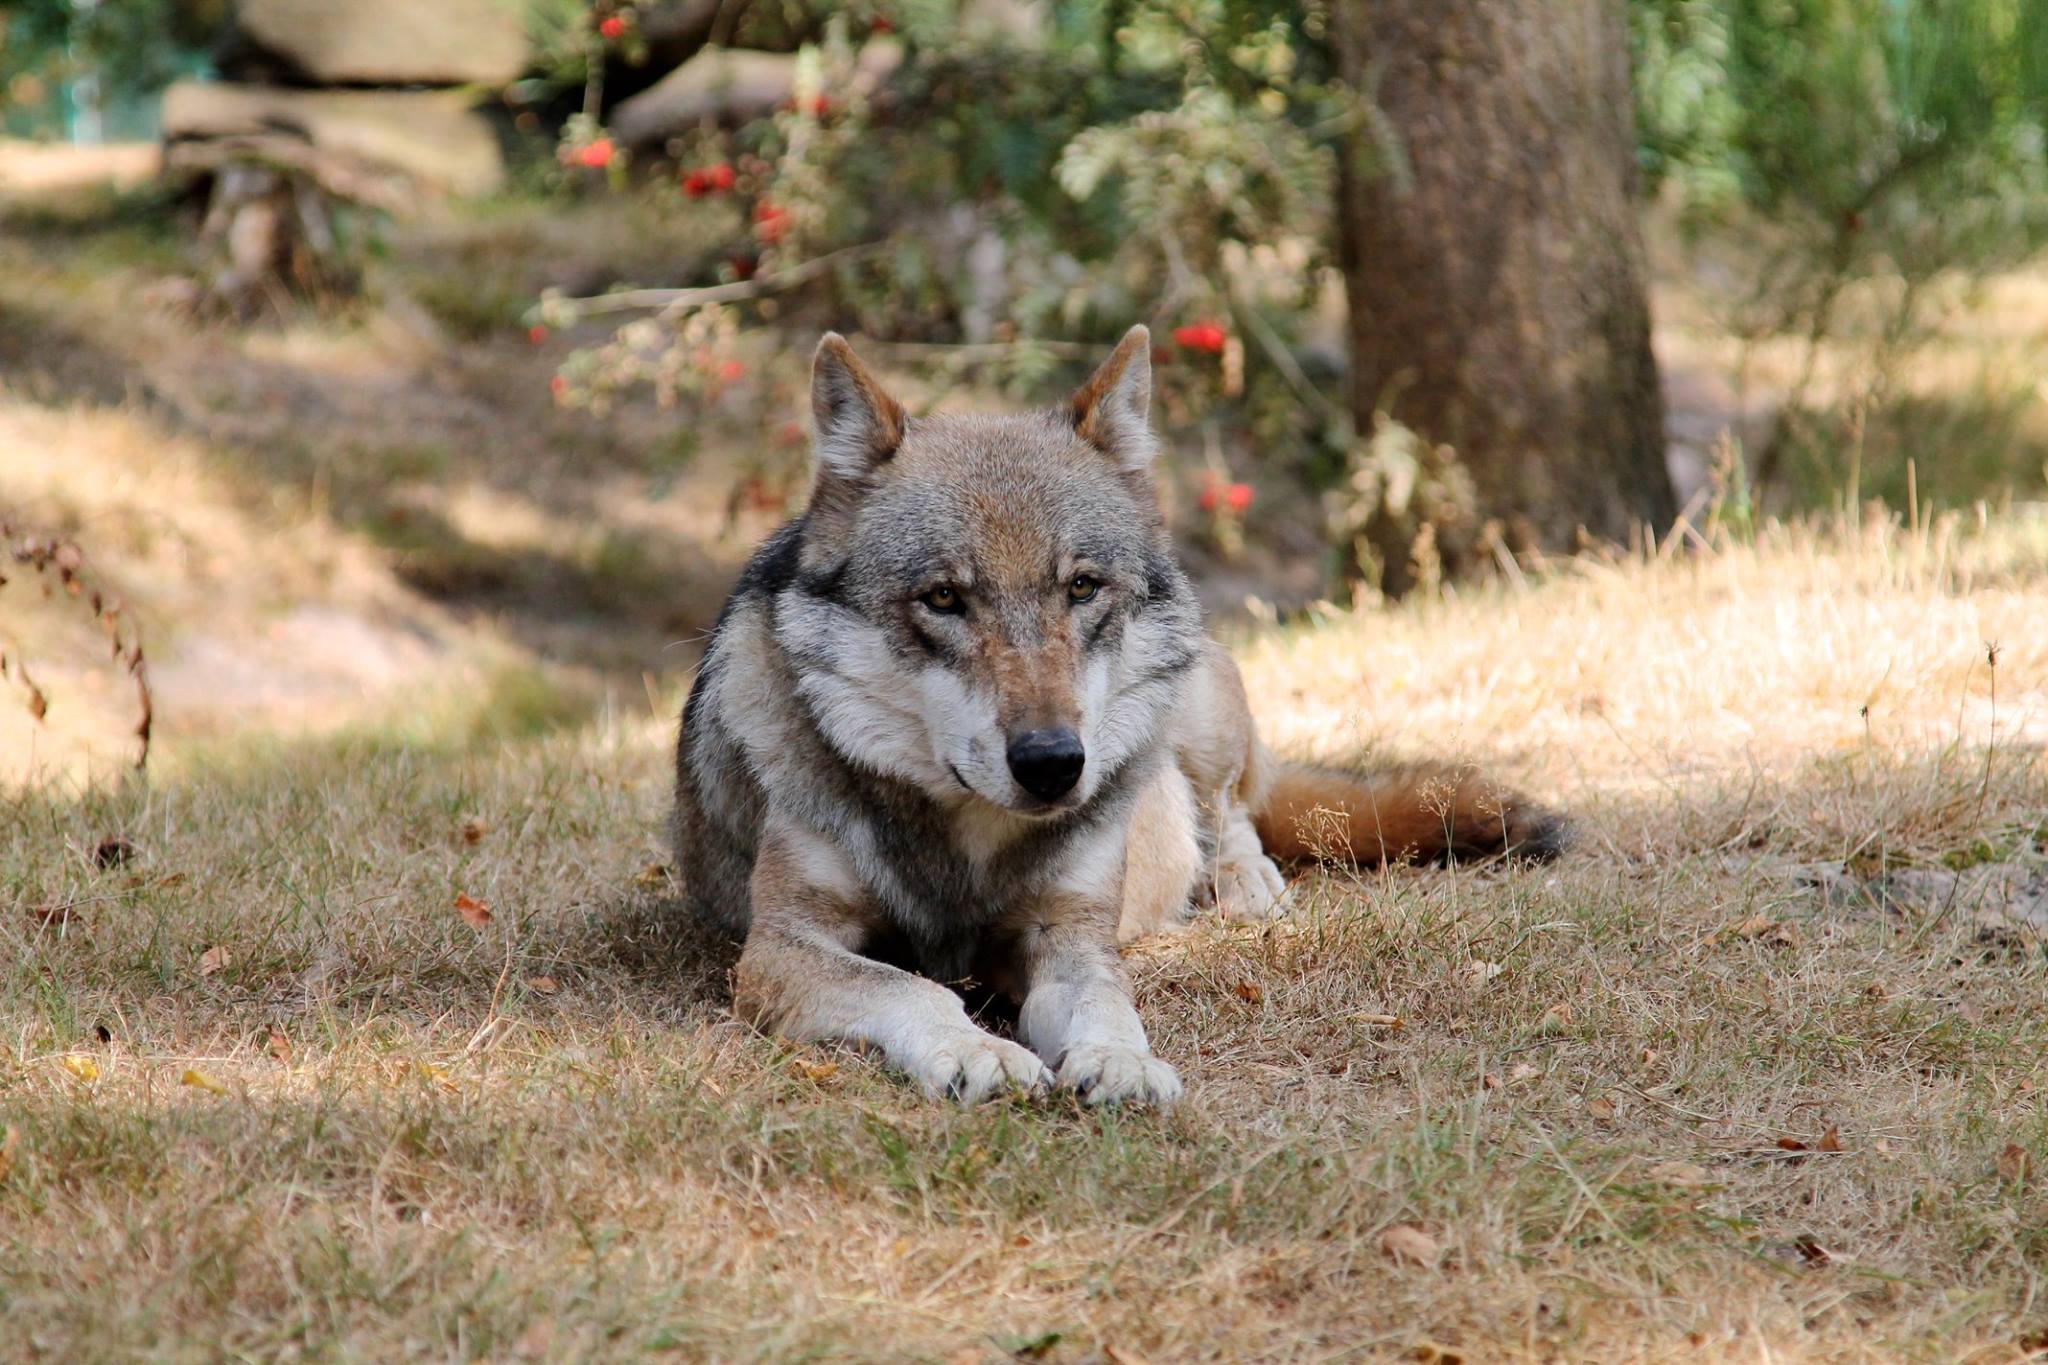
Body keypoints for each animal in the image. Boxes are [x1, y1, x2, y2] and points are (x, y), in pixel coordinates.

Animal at [675, 331, 1564, 1113]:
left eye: (1082, 587)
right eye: (944, 598)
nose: (1051, 762)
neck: (967, 846)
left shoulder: (1071, 936)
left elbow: (1109, 1004)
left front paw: (1120, 1061)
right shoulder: (779, 950)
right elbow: (915, 986)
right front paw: (977, 1049)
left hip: (1198, 704)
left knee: (1235, 810)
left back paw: (1242, 881)